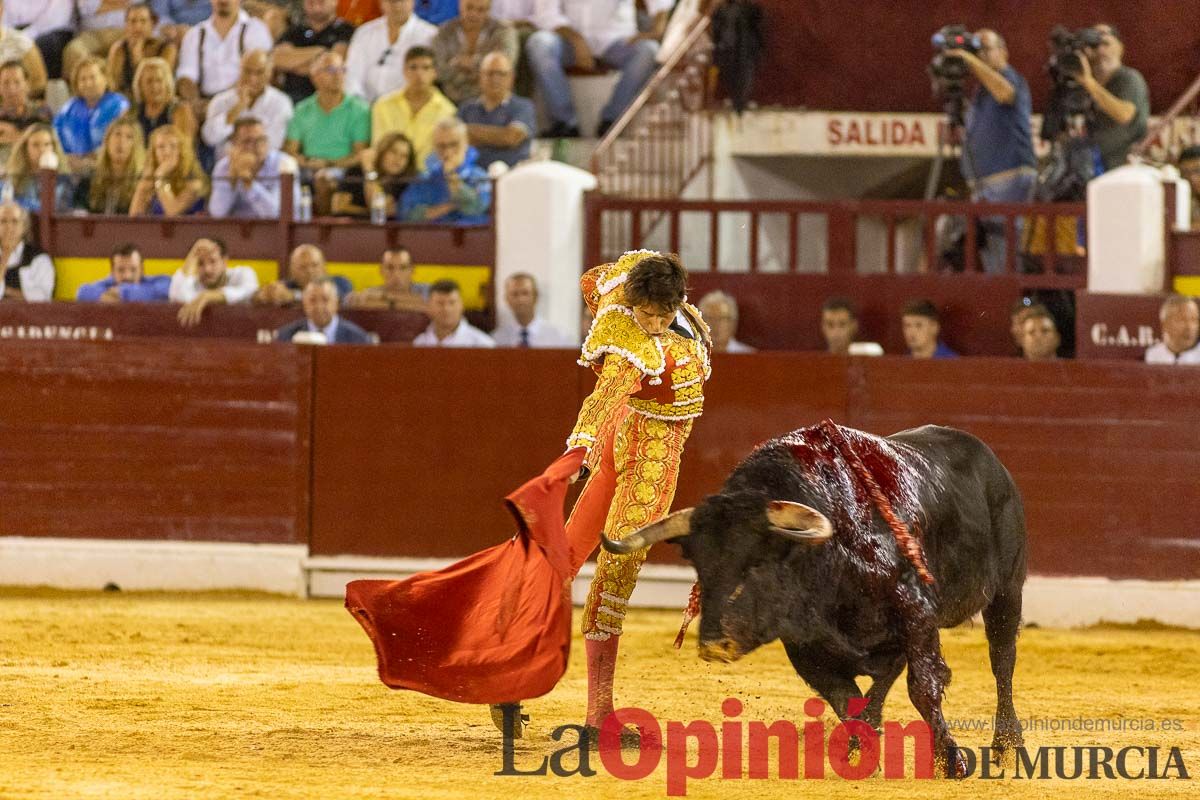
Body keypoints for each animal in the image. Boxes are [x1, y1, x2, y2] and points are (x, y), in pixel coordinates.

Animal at [604, 422, 1027, 772]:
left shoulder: (916, 614)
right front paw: (861, 750)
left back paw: (1006, 744)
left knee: (1002, 661)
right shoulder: (805, 648)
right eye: (698, 567)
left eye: (758, 562)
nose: (714, 644)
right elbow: (846, 699)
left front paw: (950, 761)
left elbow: (924, 686)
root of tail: (991, 462)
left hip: (1008, 591)